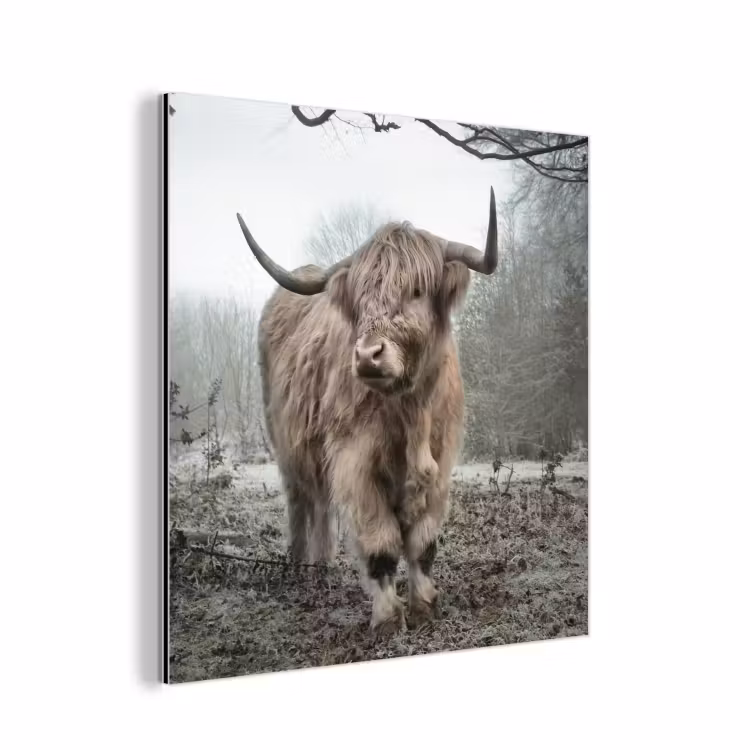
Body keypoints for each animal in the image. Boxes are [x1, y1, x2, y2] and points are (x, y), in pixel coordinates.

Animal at [236, 189, 498, 633]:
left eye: (416, 290)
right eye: (360, 298)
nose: (367, 355)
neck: (410, 412)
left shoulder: (442, 462)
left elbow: (423, 543)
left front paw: (425, 606)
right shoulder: (355, 462)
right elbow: (381, 543)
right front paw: (388, 618)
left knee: (321, 505)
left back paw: (320, 566)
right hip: (287, 447)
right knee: (301, 502)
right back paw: (300, 567)